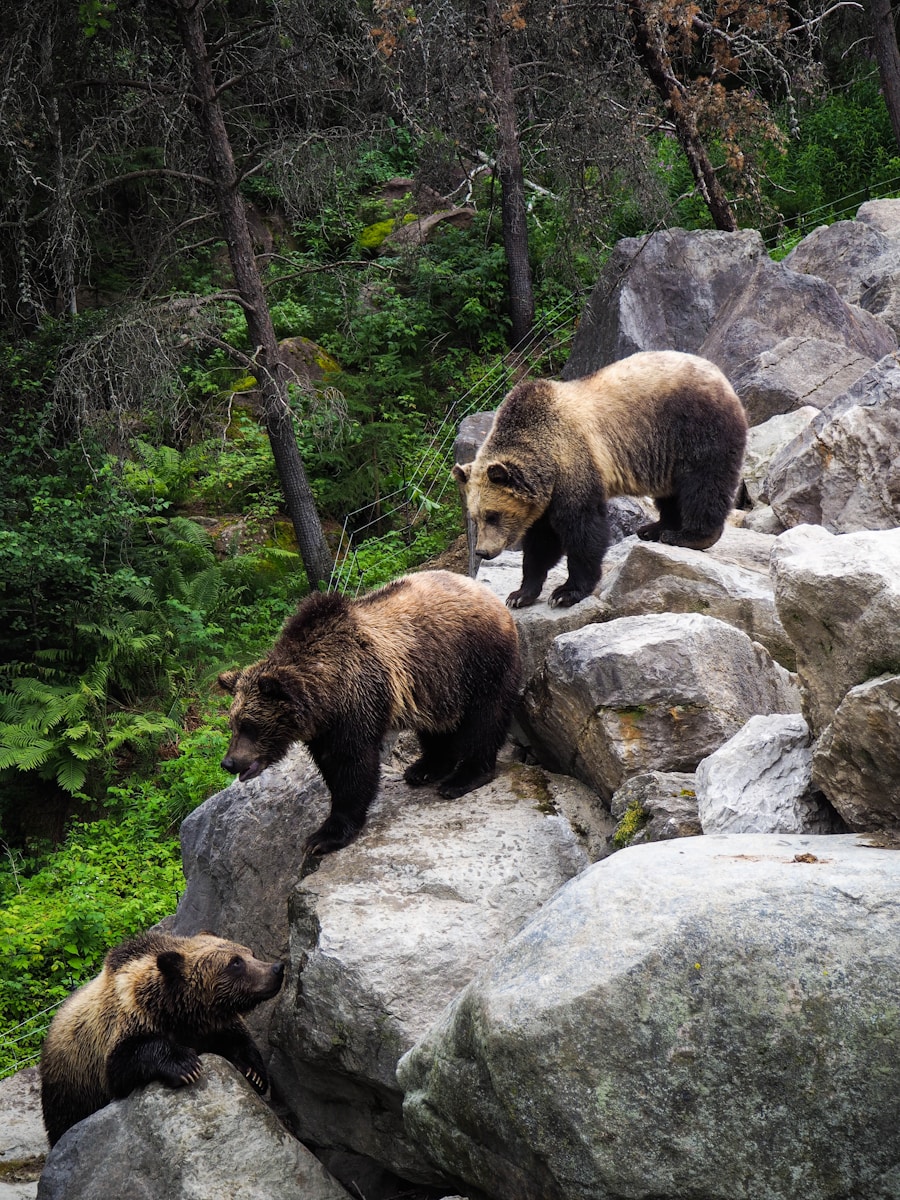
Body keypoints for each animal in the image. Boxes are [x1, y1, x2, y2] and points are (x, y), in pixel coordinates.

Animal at [39, 930, 284, 1147]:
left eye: (249, 952)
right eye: (235, 963)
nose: (277, 968)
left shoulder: (212, 1026)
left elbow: (239, 1040)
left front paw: (254, 1073)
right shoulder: (122, 1029)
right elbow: (125, 1061)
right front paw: (186, 1065)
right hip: (71, 1086)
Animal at [218, 569, 522, 856]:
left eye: (250, 725)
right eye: (233, 724)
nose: (229, 762)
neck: (325, 694)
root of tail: (487, 593)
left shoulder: (357, 701)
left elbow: (353, 767)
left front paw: (324, 837)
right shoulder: (325, 728)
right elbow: (331, 766)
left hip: (477, 660)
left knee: (485, 718)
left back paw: (463, 778)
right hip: (436, 682)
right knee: (437, 725)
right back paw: (425, 768)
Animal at [453, 350, 748, 609]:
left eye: (493, 515)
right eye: (475, 517)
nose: (482, 552)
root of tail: (719, 374)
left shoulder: (574, 463)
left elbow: (583, 529)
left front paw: (566, 592)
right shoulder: (544, 496)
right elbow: (540, 542)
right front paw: (520, 594)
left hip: (694, 427)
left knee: (704, 484)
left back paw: (689, 536)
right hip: (665, 452)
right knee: (672, 492)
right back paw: (655, 528)